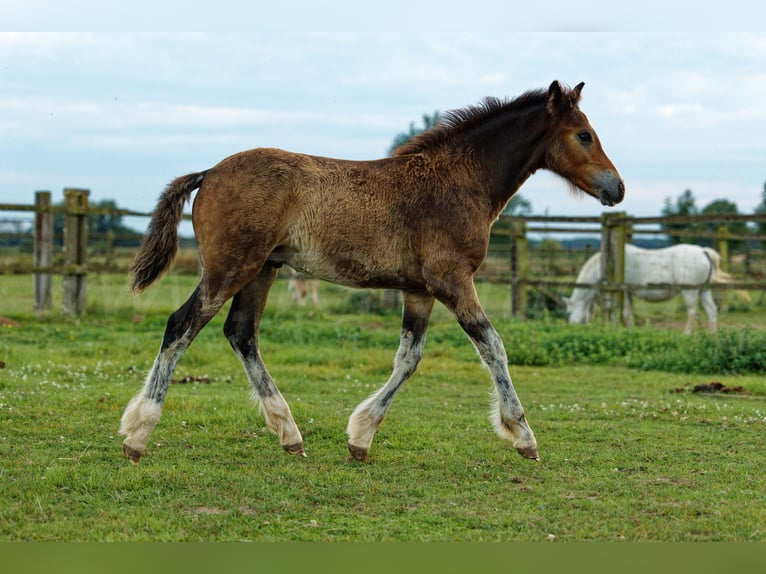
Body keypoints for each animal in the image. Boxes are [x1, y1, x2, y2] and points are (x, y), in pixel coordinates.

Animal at [568, 244, 736, 336]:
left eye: (568, 311)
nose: (572, 325)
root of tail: (703, 251)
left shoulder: (623, 290)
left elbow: (620, 311)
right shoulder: (629, 292)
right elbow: (627, 313)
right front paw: (630, 329)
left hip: (690, 291)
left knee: (692, 312)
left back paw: (686, 333)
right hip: (703, 290)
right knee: (712, 310)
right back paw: (712, 334)